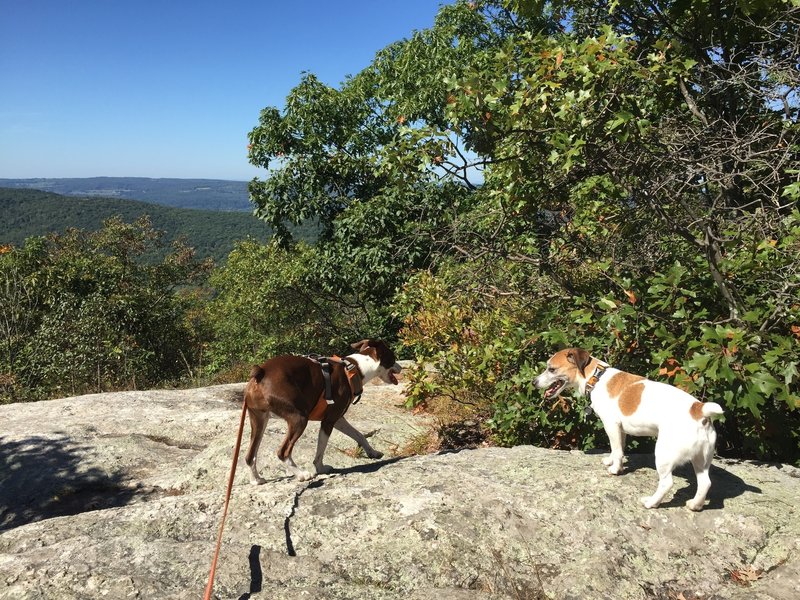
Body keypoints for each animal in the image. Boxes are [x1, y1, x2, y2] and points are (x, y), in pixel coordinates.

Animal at [239, 338, 398, 482]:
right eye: (393, 358)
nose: (400, 367)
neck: (354, 369)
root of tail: (260, 372)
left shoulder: (338, 418)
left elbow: (359, 435)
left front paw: (372, 452)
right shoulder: (328, 421)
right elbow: (321, 448)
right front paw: (320, 468)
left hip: (258, 419)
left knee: (250, 455)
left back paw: (256, 479)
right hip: (299, 418)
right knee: (282, 452)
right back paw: (302, 474)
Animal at [536, 346, 720, 510]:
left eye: (551, 369)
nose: (534, 381)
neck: (596, 377)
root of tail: (699, 410)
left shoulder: (611, 425)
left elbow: (617, 450)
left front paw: (615, 469)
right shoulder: (620, 430)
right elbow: (617, 448)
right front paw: (610, 461)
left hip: (664, 454)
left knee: (667, 483)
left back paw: (651, 503)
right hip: (701, 459)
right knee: (705, 483)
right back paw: (695, 505)